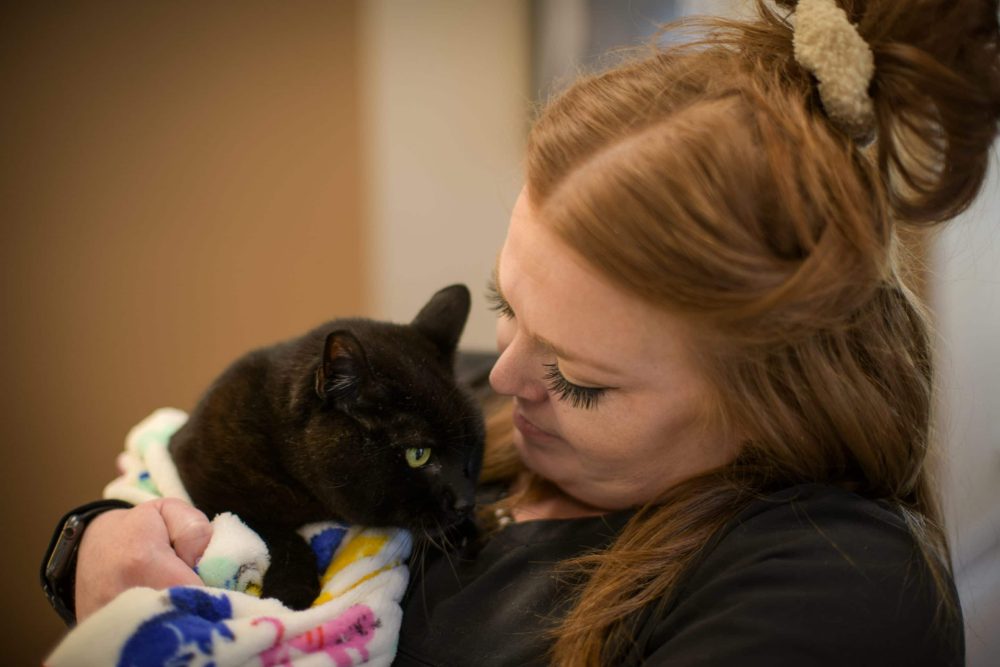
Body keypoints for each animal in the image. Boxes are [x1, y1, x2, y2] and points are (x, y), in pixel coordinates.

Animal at [169, 284, 484, 612]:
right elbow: (274, 533)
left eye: (471, 445)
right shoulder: (209, 491)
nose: (466, 501)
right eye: (418, 455)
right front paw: (290, 592)